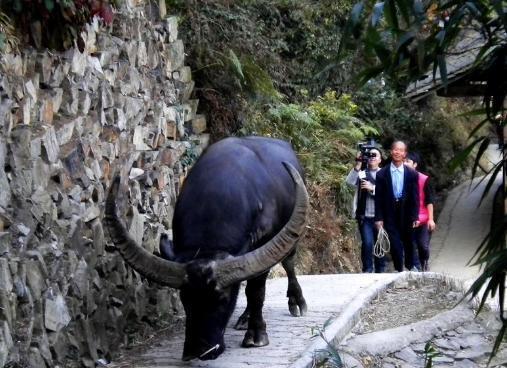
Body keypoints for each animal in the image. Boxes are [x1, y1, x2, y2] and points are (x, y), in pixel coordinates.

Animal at [105, 135, 308, 360]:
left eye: (222, 298)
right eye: (185, 298)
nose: (199, 350)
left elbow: (256, 291)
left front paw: (256, 335)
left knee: (288, 262)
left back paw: (296, 301)